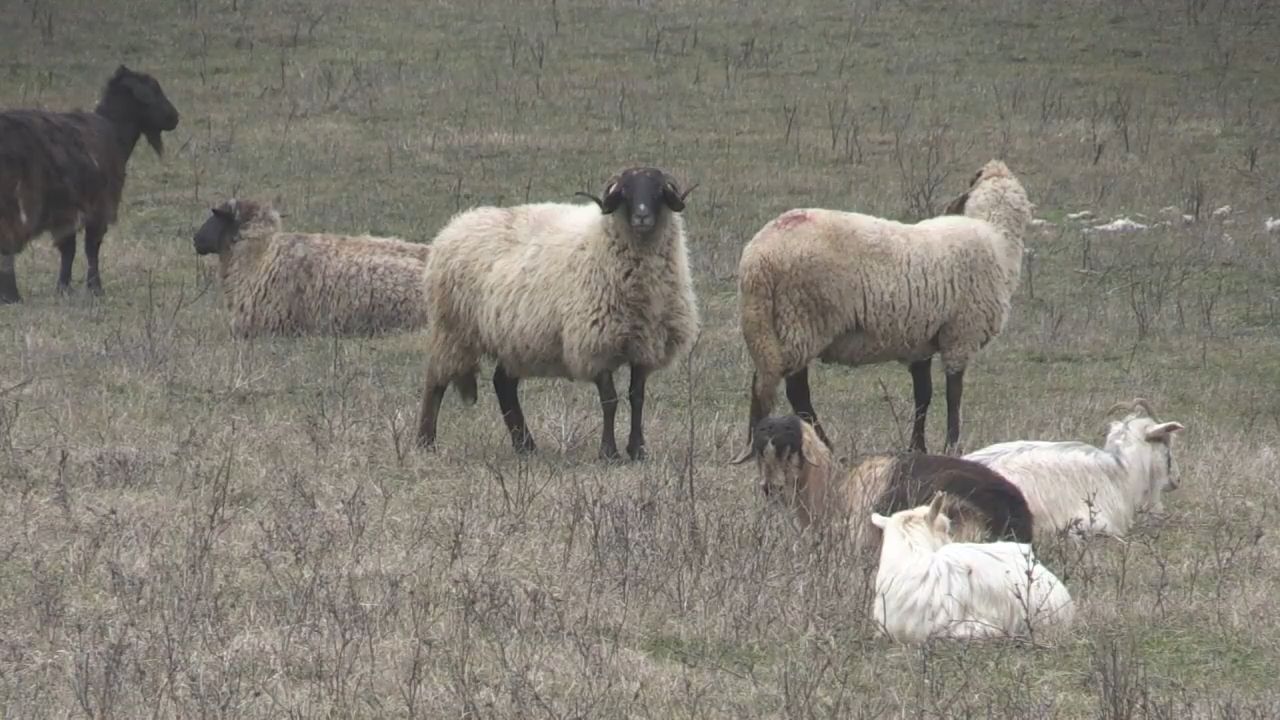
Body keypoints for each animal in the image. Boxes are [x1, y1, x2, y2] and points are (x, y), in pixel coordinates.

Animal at [0, 65, 180, 303]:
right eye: (154, 91)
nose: (175, 118)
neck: (113, 129)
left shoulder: (66, 213)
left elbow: (68, 249)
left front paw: (63, 288)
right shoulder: (98, 208)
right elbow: (90, 248)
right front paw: (95, 288)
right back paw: (11, 296)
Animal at [414, 166, 700, 461]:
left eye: (658, 191)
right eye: (625, 192)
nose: (642, 216)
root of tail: (455, 225)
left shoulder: (644, 346)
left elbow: (637, 397)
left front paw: (638, 450)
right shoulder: (593, 344)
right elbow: (610, 400)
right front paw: (608, 453)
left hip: (513, 339)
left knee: (503, 385)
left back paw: (525, 446)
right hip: (452, 329)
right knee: (435, 380)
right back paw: (425, 441)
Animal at [730, 160, 1032, 461]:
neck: (995, 236)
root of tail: (758, 258)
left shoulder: (920, 340)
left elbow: (923, 395)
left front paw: (917, 448)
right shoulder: (960, 334)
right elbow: (953, 394)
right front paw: (952, 447)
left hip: (768, 325)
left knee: (762, 382)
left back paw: (758, 444)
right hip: (802, 320)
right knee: (797, 392)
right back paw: (827, 447)